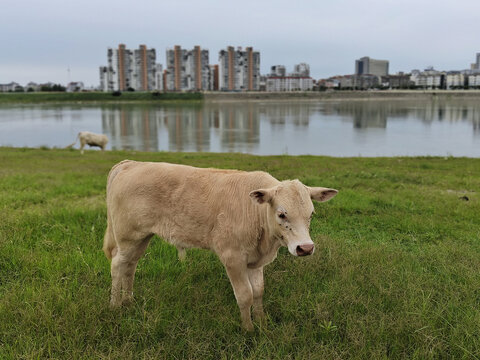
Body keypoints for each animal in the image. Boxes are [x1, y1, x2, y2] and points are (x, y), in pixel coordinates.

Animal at [104, 162, 338, 330]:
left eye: (311, 214)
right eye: (281, 214)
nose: (305, 248)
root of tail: (130, 164)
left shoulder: (255, 261)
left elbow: (258, 291)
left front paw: (262, 322)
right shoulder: (232, 257)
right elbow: (245, 295)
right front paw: (248, 329)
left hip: (140, 238)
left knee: (130, 267)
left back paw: (128, 301)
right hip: (127, 237)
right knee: (117, 266)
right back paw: (115, 306)